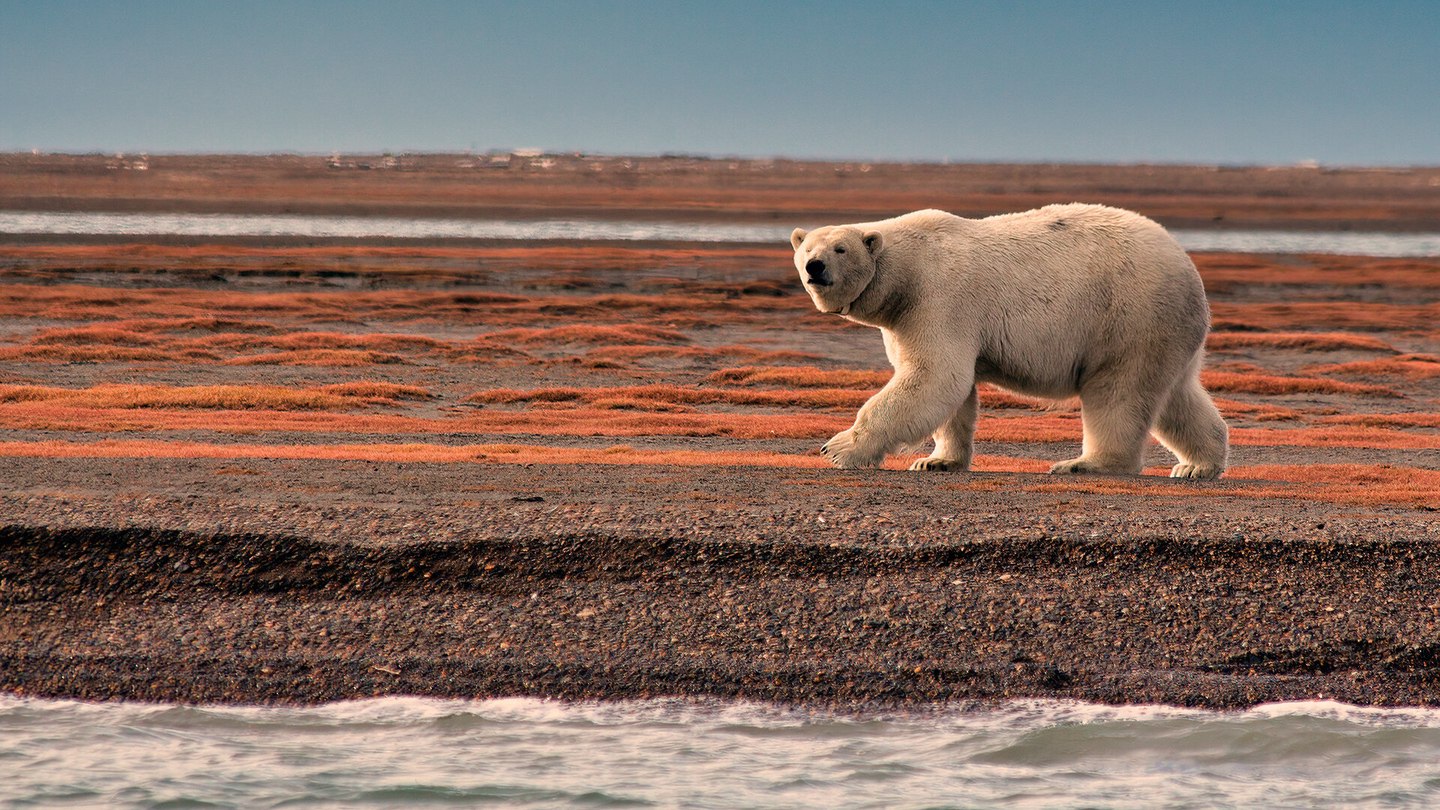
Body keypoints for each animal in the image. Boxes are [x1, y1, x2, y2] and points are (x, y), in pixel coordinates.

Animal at [790, 204, 1228, 479]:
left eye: (840, 248)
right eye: (807, 247)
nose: (815, 266)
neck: (905, 274)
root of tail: (1188, 268)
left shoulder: (938, 298)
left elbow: (934, 376)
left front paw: (838, 449)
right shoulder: (906, 319)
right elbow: (951, 390)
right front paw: (937, 461)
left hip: (1128, 317)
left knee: (1118, 392)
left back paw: (1084, 464)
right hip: (1166, 331)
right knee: (1177, 396)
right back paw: (1197, 465)